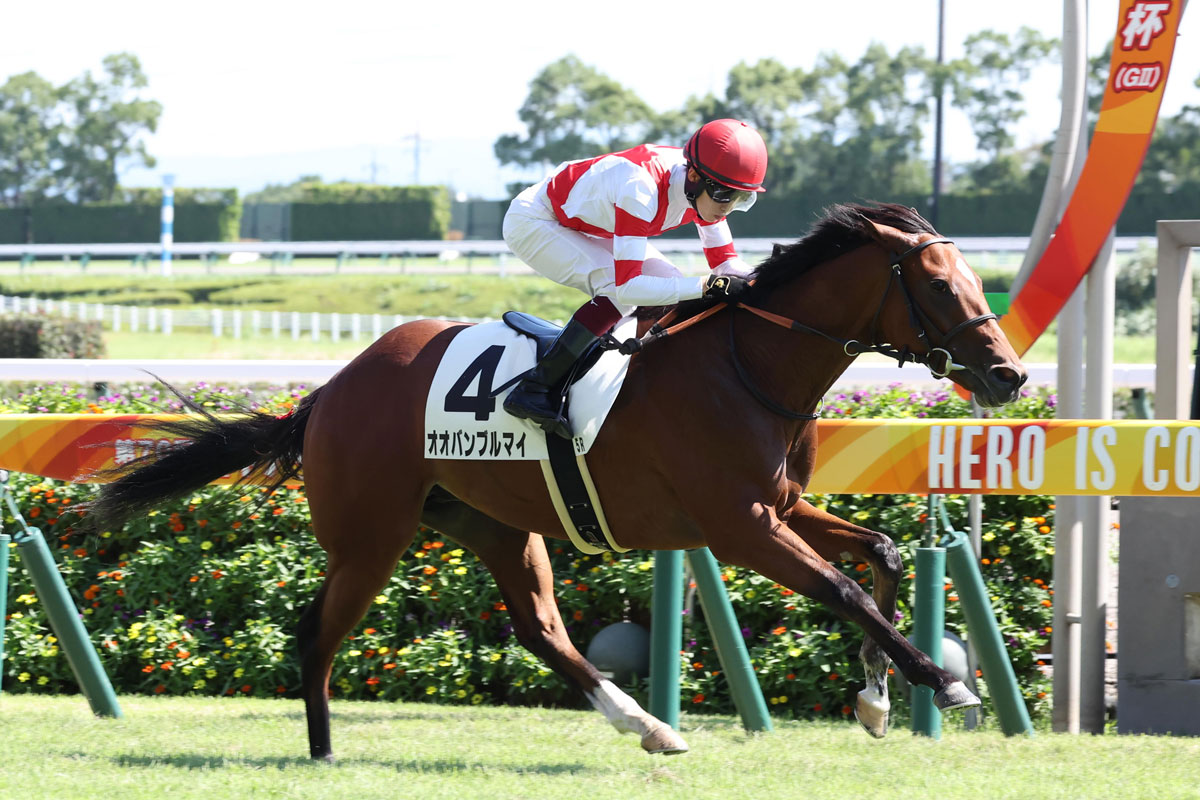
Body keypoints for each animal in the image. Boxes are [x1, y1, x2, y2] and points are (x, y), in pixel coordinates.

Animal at [87, 202, 1027, 762]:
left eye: (974, 278)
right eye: (939, 284)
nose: (1009, 376)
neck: (747, 364)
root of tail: (331, 390)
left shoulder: (780, 508)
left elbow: (884, 555)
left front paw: (875, 694)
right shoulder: (741, 527)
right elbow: (844, 587)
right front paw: (944, 681)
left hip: (497, 524)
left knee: (540, 631)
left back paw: (648, 726)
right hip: (370, 536)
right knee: (316, 634)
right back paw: (322, 750)